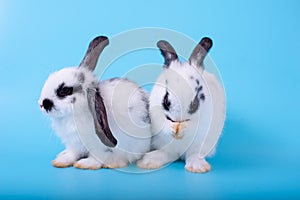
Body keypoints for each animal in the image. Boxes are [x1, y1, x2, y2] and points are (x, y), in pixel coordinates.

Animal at [39, 36, 152, 169]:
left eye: (64, 90)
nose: (42, 104)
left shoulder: (99, 147)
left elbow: (97, 157)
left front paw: (84, 164)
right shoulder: (73, 144)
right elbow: (73, 154)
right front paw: (61, 161)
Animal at [138, 37, 225, 173]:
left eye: (196, 100)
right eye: (166, 99)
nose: (178, 119)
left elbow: (193, 126)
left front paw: (183, 128)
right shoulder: (156, 114)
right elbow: (163, 124)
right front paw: (172, 127)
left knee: (193, 155)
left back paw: (197, 167)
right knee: (168, 154)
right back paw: (148, 161)